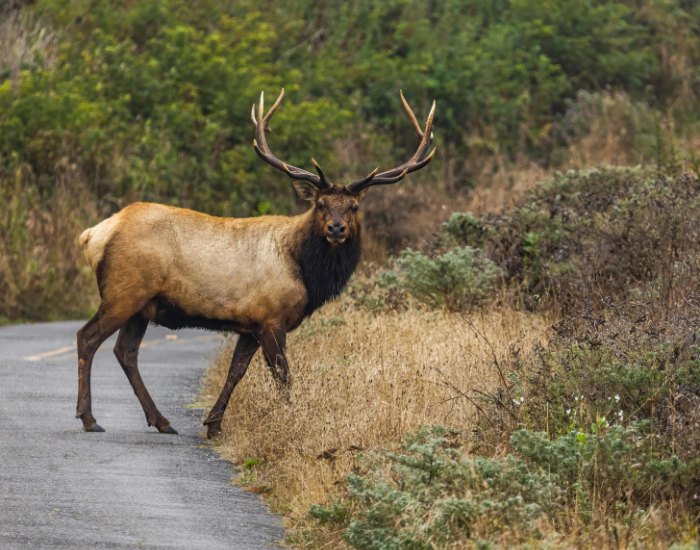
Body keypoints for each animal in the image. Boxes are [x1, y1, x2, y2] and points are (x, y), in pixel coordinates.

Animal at [75, 89, 436, 438]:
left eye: (354, 207)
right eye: (320, 204)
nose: (337, 229)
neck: (305, 273)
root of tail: (93, 234)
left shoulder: (251, 324)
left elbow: (236, 371)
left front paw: (214, 424)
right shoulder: (272, 317)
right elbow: (283, 375)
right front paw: (291, 422)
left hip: (141, 306)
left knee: (125, 351)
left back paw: (161, 421)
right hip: (123, 292)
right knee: (87, 337)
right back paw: (89, 418)